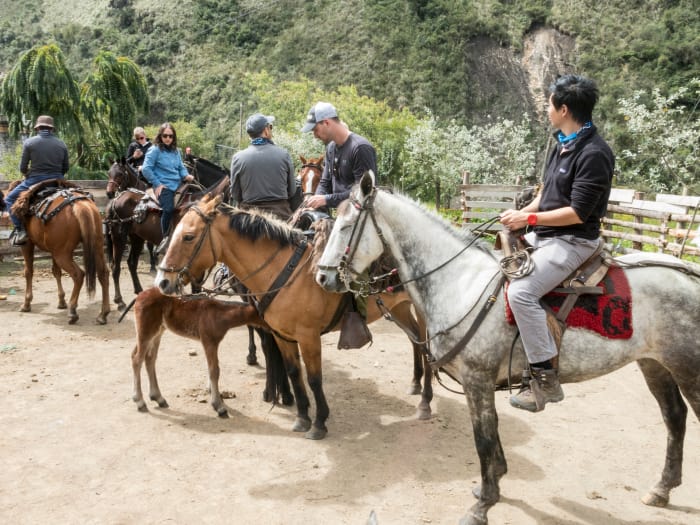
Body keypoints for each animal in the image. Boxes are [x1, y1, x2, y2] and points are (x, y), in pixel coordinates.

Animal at [11, 181, 110, 324]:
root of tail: (79, 204)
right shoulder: (53, 250)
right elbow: (56, 272)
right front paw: (61, 301)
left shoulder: (27, 244)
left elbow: (28, 272)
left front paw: (26, 303)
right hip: (95, 246)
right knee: (103, 273)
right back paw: (103, 314)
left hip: (62, 254)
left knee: (78, 274)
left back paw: (73, 311)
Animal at [129, 286, 291, 416]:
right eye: (264, 315)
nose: (275, 328)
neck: (219, 314)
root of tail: (140, 296)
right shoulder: (209, 342)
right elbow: (214, 370)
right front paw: (219, 406)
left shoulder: (212, 343)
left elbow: (211, 369)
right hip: (146, 332)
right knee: (137, 359)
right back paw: (140, 401)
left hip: (157, 332)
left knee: (149, 358)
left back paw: (158, 398)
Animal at [154, 194, 432, 440]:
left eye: (188, 236)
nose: (163, 281)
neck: (288, 272)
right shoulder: (282, 336)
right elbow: (294, 372)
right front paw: (302, 417)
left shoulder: (309, 337)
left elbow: (314, 379)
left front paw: (319, 423)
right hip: (398, 308)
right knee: (415, 340)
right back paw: (415, 383)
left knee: (426, 347)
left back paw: (426, 401)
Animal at [314, 171, 700, 525]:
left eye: (346, 227)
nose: (322, 277)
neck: (460, 282)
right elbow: (492, 443)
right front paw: (490, 489)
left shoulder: (478, 380)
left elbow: (483, 440)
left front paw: (482, 506)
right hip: (655, 364)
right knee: (674, 417)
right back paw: (662, 489)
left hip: (688, 367)